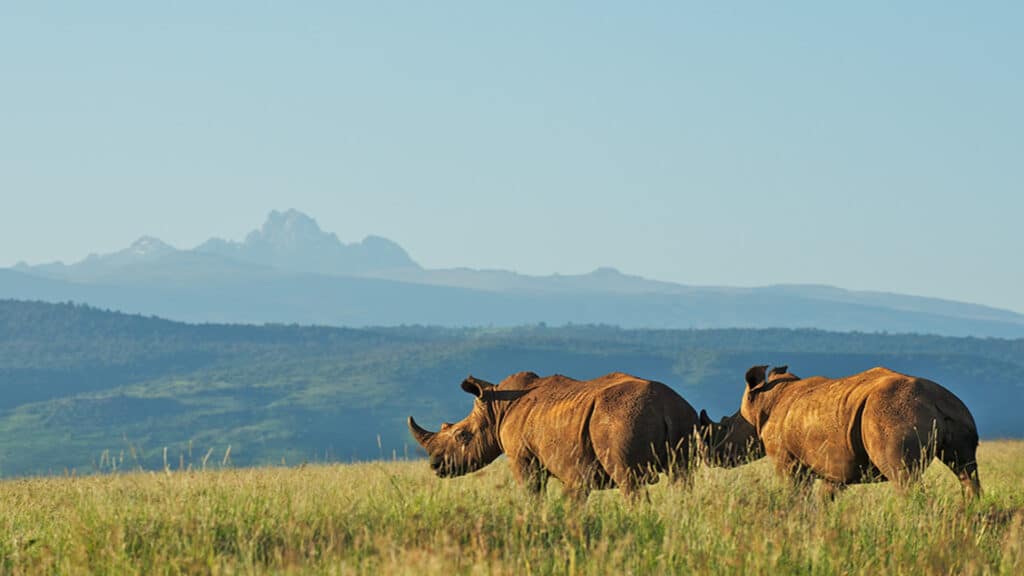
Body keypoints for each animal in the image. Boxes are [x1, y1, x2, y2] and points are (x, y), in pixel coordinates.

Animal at [408, 371, 701, 501]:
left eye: (462, 436)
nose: (435, 465)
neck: (496, 408)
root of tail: (665, 405)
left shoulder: (523, 457)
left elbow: (532, 491)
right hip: (683, 418)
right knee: (682, 477)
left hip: (622, 420)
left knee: (628, 479)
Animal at [740, 364, 981, 498]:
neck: (768, 398)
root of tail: (936, 399)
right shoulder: (835, 463)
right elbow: (826, 496)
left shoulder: (786, 458)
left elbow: (795, 491)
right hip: (959, 414)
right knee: (966, 471)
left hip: (893, 415)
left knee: (903, 478)